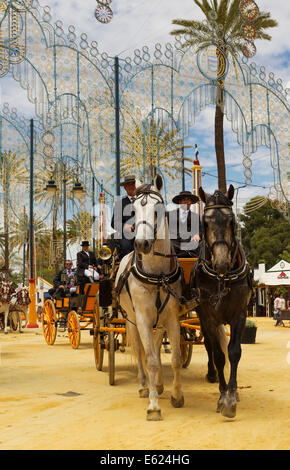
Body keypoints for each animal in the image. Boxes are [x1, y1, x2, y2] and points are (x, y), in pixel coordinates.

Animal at [114, 176, 198, 422]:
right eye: (133, 211)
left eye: (158, 209)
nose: (141, 244)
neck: (158, 274)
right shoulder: (142, 318)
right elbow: (149, 359)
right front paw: (153, 406)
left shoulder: (172, 318)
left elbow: (176, 357)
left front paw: (177, 395)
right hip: (132, 321)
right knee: (141, 352)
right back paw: (144, 386)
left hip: (159, 322)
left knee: (158, 344)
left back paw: (159, 385)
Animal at [191, 185, 253, 418]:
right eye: (205, 222)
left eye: (231, 221)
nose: (221, 262)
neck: (222, 278)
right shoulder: (209, 317)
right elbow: (218, 355)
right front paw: (222, 396)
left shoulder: (240, 314)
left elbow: (234, 352)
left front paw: (232, 395)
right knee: (209, 345)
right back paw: (213, 375)